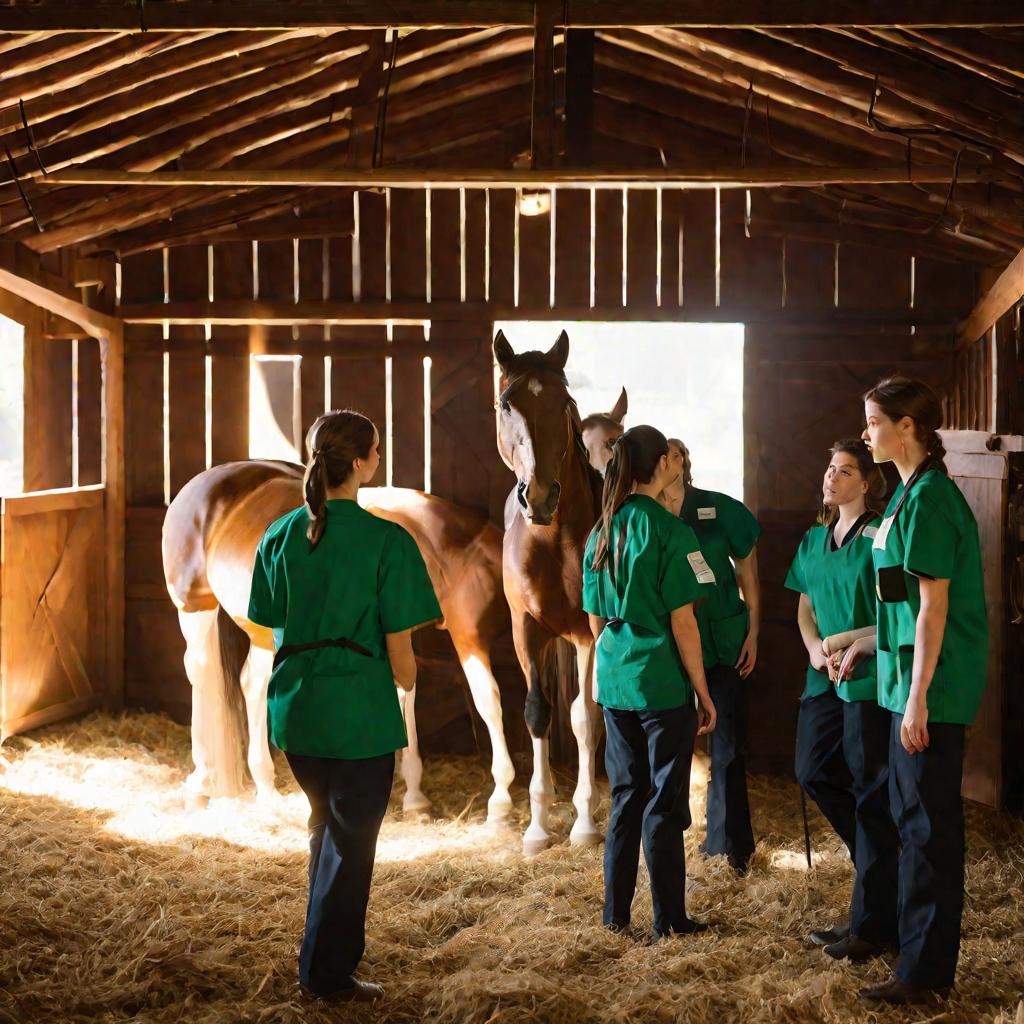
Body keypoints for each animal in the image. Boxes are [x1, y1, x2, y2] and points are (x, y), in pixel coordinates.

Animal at [162, 464, 516, 823]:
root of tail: (208, 480)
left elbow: (406, 695)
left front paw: (414, 795)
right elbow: (487, 700)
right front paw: (499, 802)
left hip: (263, 632)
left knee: (253, 685)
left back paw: (266, 788)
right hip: (194, 608)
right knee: (201, 673)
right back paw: (201, 782)